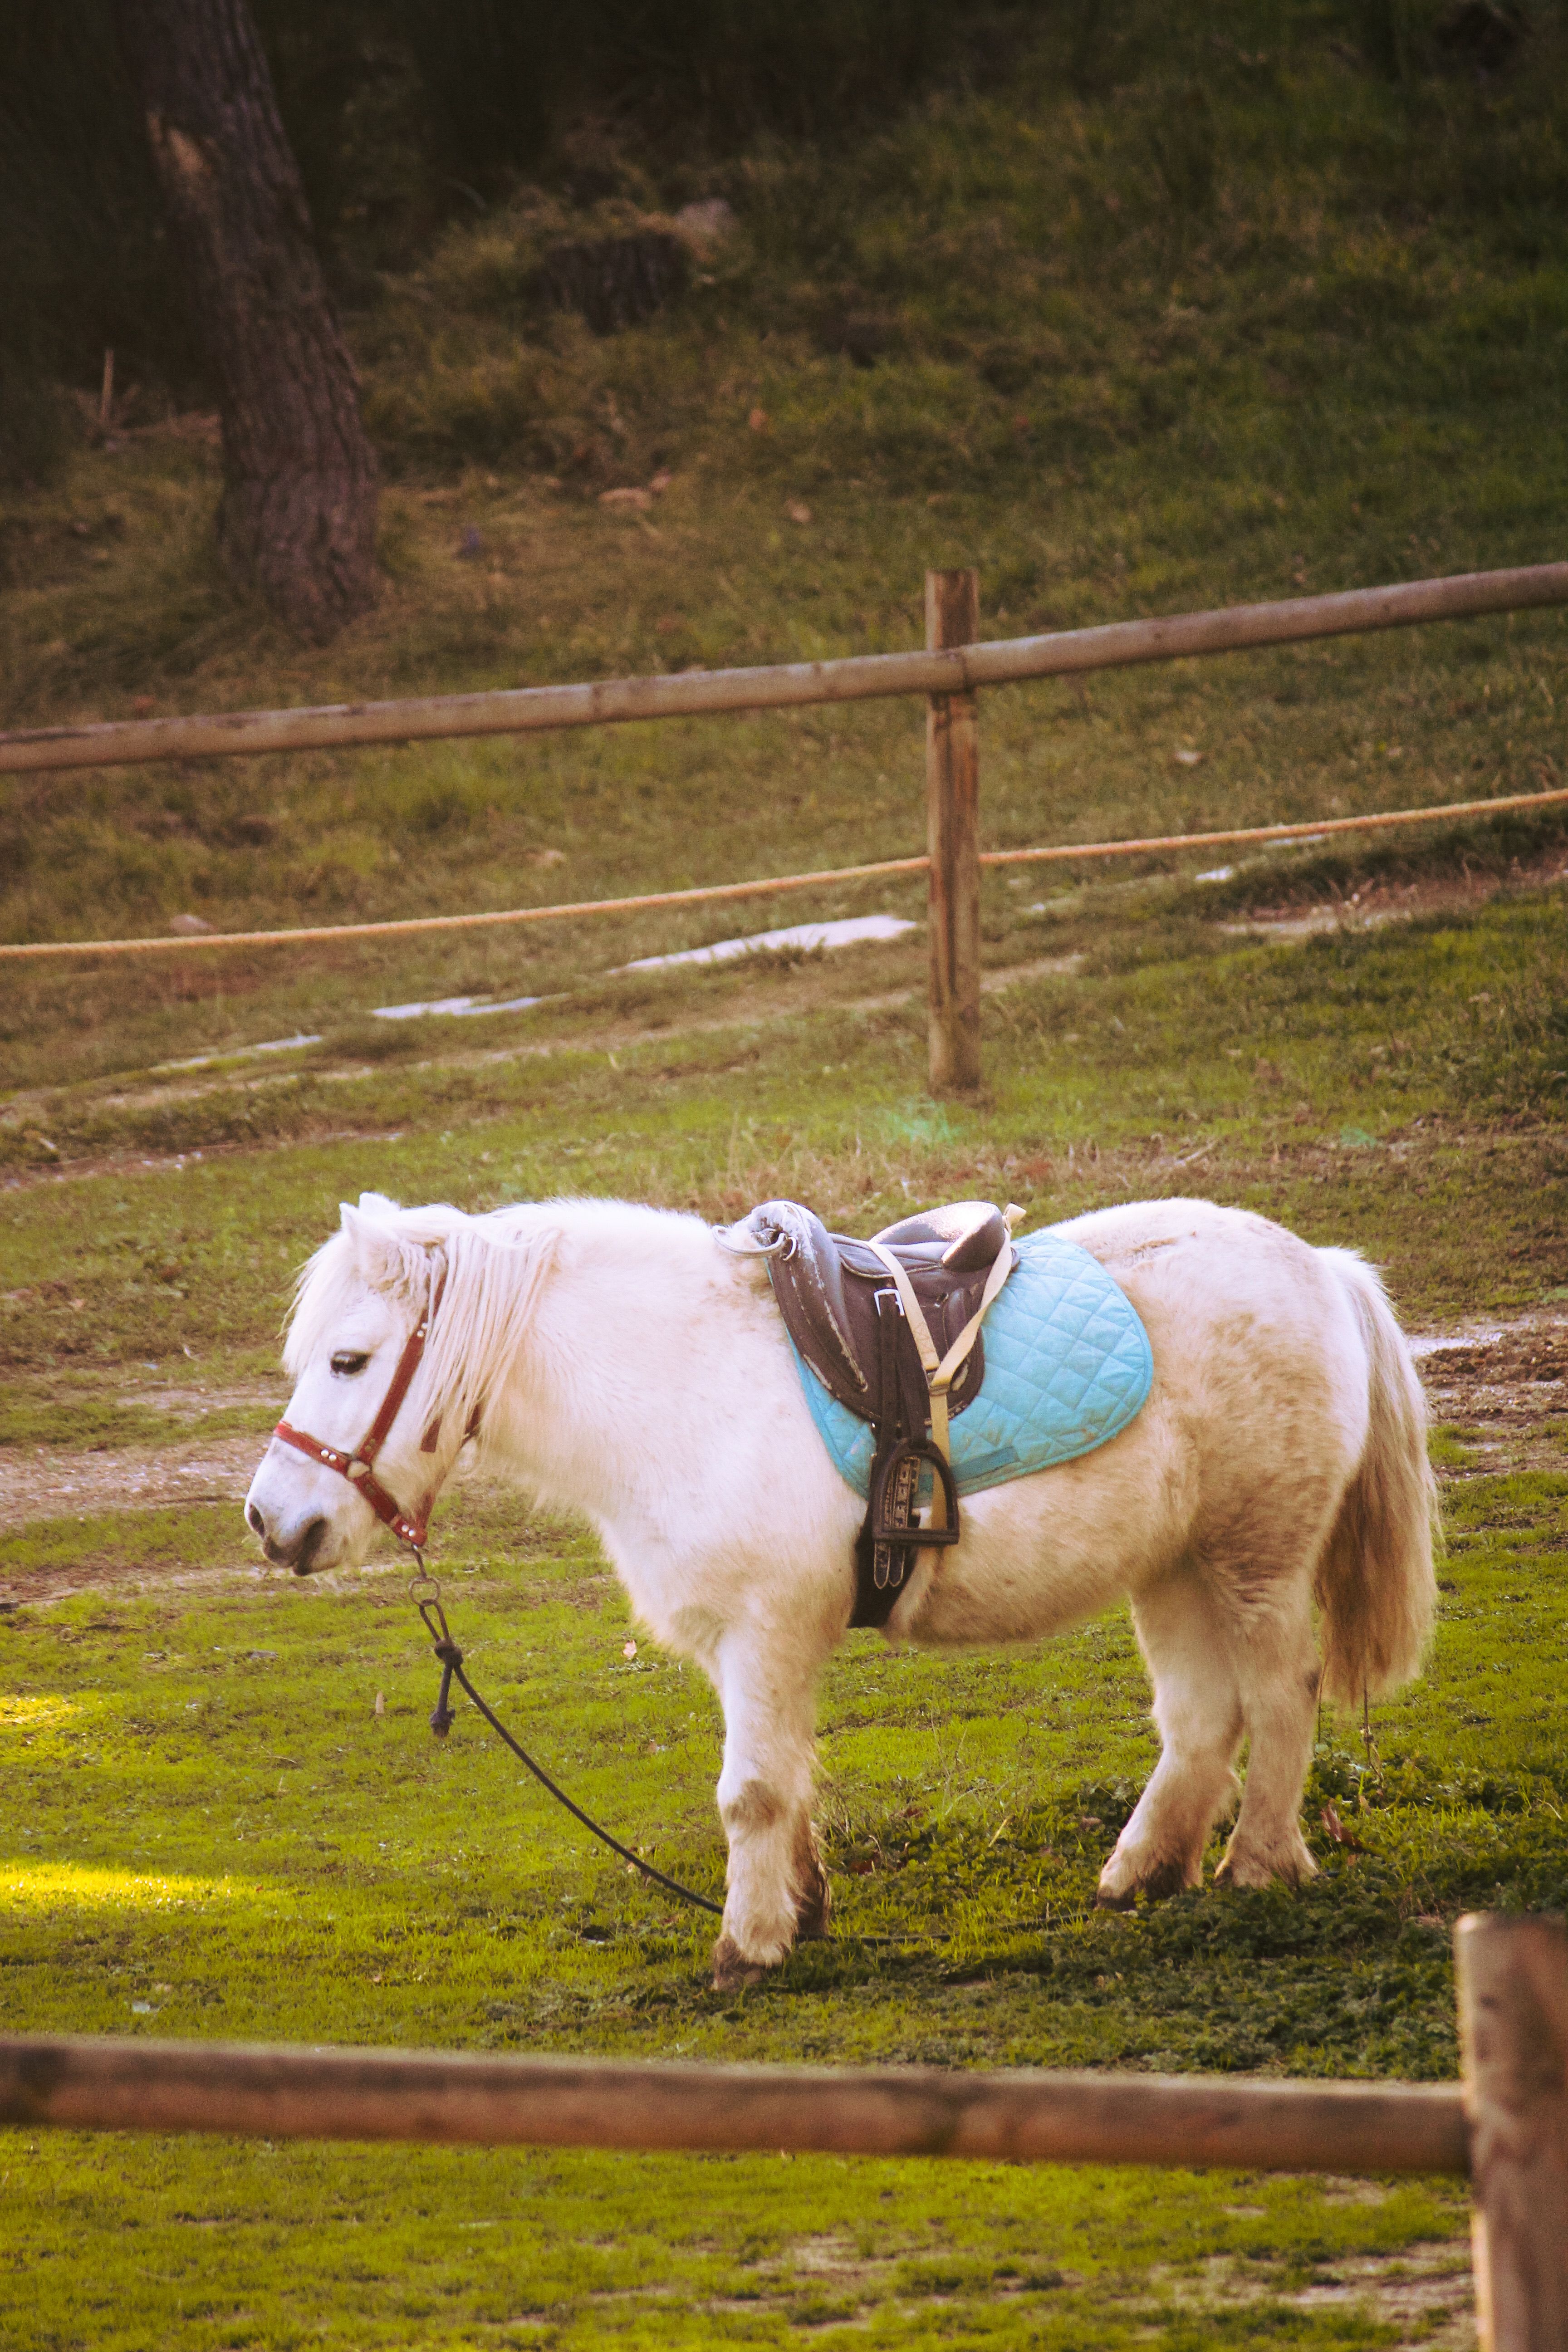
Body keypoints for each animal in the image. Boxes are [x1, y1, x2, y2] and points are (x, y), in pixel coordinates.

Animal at [244, 1189, 1438, 1988]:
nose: (272, 1522)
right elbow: (784, 1778)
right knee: (1200, 1719)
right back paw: (1142, 1872)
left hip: (1256, 1557)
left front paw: (745, 1946)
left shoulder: (766, 1630)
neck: (679, 1380)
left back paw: (1257, 1866)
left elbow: (750, 1791)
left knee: (1280, 1695)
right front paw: (799, 1908)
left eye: (350, 1361)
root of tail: (1321, 1265)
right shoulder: (745, 1644)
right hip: (1177, 1566)